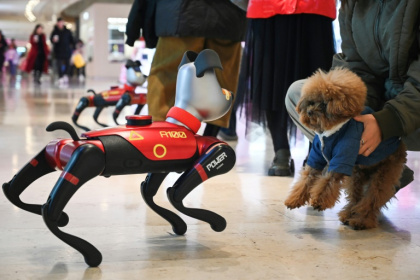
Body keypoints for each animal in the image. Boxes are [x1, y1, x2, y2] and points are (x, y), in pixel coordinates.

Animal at [2, 49, 236, 266]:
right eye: (219, 88)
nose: (231, 94)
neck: (183, 124)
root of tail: (74, 141)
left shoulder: (165, 163)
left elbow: (150, 191)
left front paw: (178, 223)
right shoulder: (207, 148)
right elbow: (181, 190)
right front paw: (216, 222)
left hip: (55, 150)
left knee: (19, 184)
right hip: (87, 156)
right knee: (50, 209)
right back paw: (88, 251)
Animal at [284, 68, 406, 230]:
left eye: (324, 104)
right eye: (311, 102)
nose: (309, 112)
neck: (329, 133)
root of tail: (400, 143)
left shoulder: (342, 158)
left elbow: (328, 182)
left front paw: (319, 201)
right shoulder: (316, 156)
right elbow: (307, 178)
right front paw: (294, 199)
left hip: (384, 174)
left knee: (372, 199)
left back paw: (362, 220)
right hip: (357, 175)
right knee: (356, 197)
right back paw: (348, 214)